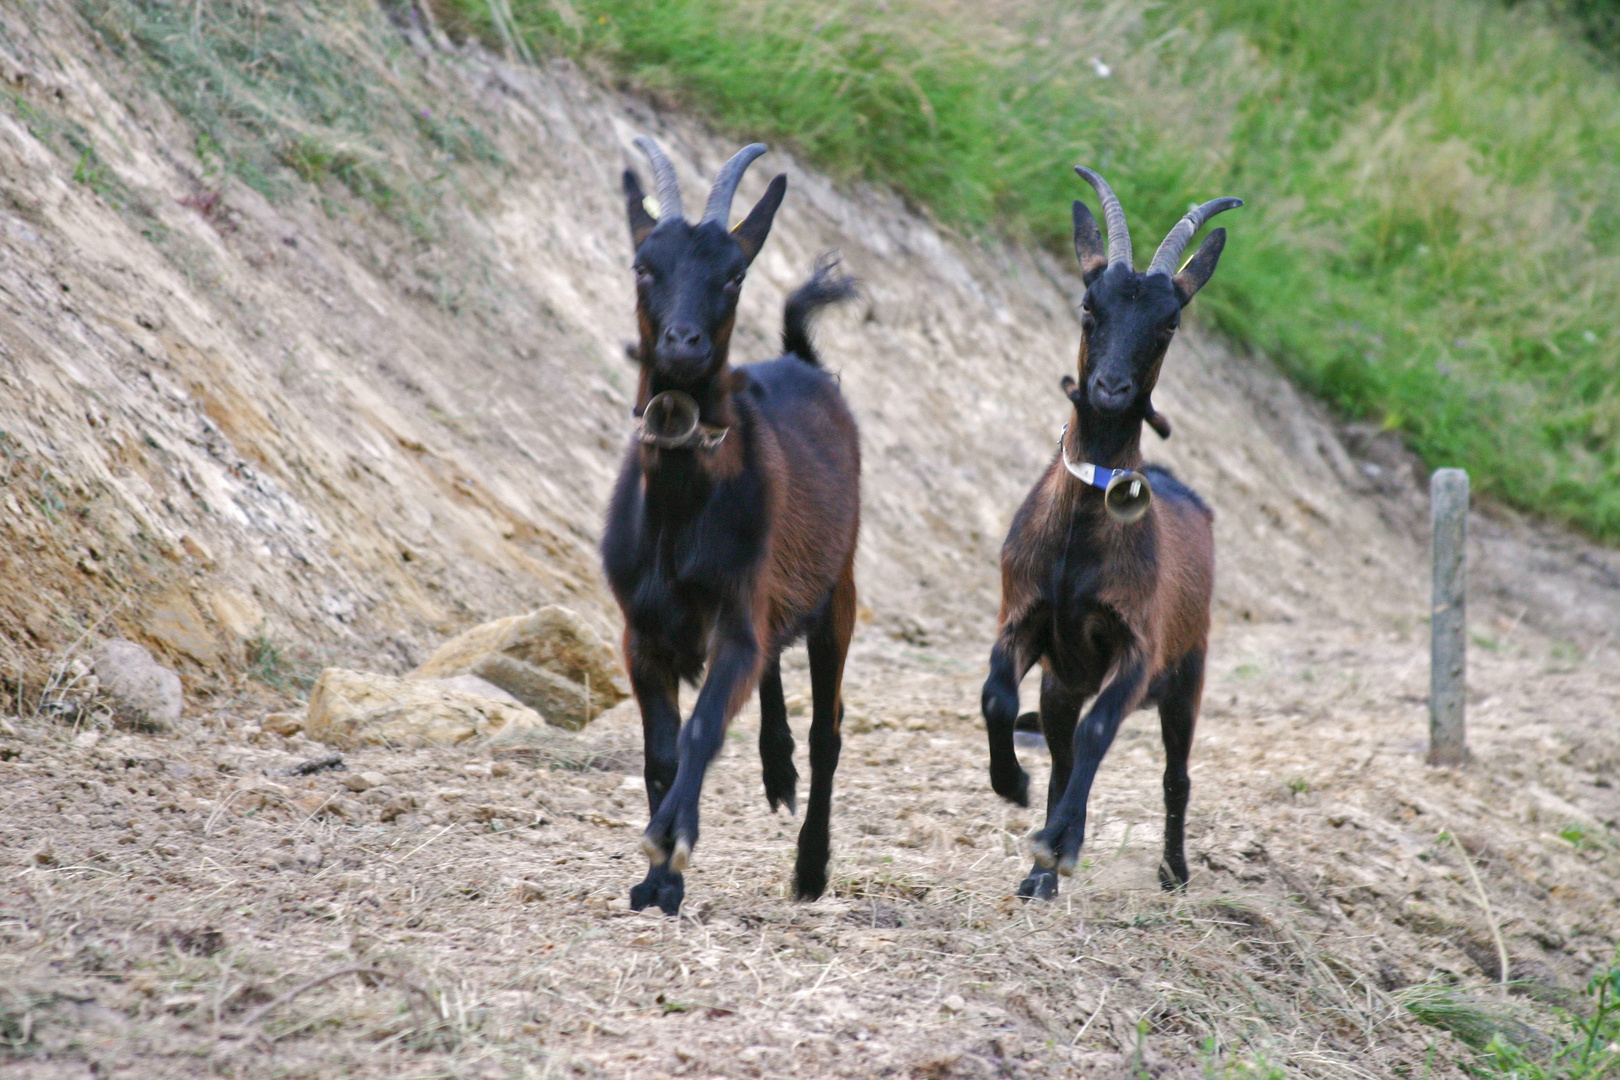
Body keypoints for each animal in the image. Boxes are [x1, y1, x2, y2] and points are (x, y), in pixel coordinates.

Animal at [602, 132, 861, 913]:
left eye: (734, 274)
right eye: (643, 265)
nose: (682, 344)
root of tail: (802, 360)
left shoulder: (737, 623)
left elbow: (700, 732)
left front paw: (671, 841)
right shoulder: (642, 633)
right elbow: (660, 751)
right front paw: (656, 882)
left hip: (838, 591)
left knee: (829, 731)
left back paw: (811, 867)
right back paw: (778, 771)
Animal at [972, 169, 1237, 906]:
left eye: (1169, 322)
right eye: (1089, 305)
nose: (1111, 389)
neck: (1075, 553)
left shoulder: (1137, 647)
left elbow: (1099, 734)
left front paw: (1055, 846)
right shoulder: (1027, 619)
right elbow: (997, 697)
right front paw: (1013, 786)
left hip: (1188, 672)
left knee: (1171, 772)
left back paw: (1170, 871)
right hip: (1065, 682)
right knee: (1067, 754)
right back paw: (1044, 867)